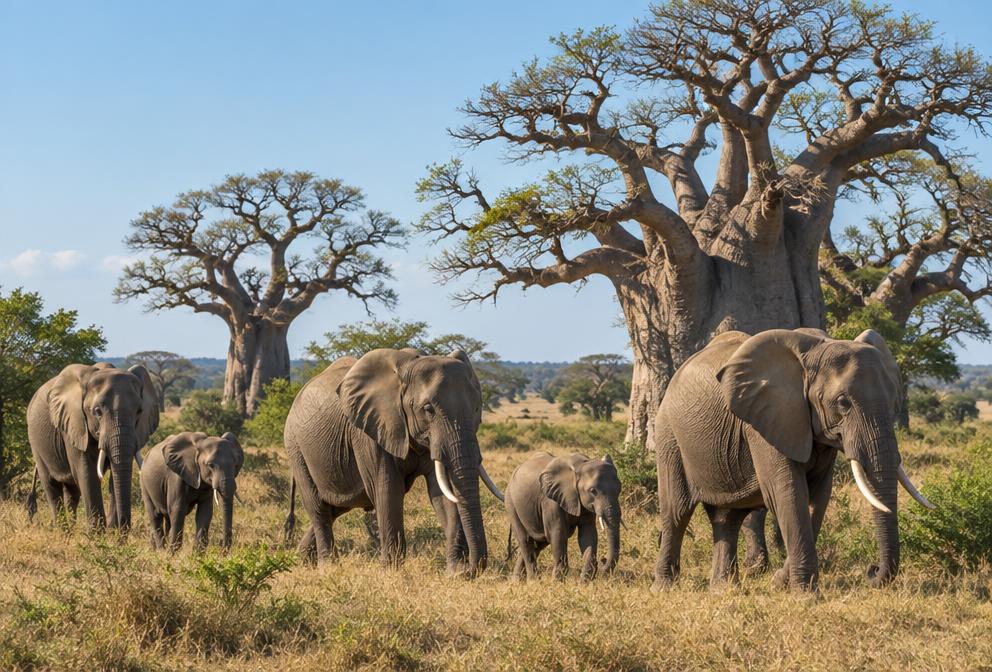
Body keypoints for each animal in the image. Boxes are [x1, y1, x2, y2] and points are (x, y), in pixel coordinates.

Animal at [27, 362, 159, 531]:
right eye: (97, 411)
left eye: (139, 411)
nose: (123, 528)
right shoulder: (73, 426)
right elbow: (87, 473)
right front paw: (97, 534)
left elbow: (115, 475)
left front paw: (112, 532)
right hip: (35, 441)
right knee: (51, 486)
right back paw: (63, 532)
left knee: (72, 492)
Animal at [283, 348, 504, 575]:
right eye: (428, 409)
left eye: (477, 409)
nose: (470, 569)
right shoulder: (370, 432)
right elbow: (388, 490)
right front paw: (391, 570)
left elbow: (443, 492)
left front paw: (455, 572)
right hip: (295, 447)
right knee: (319, 508)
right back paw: (327, 567)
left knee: (336, 507)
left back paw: (301, 558)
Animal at [504, 452, 622, 581]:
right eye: (592, 491)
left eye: (619, 488)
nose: (603, 559)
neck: (582, 465)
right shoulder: (551, 502)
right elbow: (558, 534)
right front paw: (557, 581)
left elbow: (588, 534)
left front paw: (584, 581)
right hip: (511, 504)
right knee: (525, 541)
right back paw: (532, 581)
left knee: (538, 543)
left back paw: (517, 581)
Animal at [653, 328, 934, 592]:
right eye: (843, 403)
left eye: (895, 401)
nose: (872, 571)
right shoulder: (767, 420)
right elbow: (788, 492)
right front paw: (806, 595)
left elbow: (817, 497)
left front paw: (779, 582)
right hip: (669, 437)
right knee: (677, 512)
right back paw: (666, 587)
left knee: (727, 518)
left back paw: (723, 590)